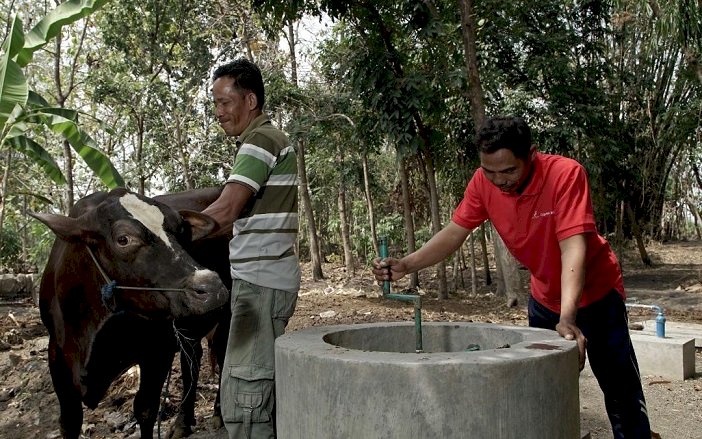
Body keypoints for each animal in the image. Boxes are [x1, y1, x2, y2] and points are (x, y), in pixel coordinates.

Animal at [33, 188, 231, 439]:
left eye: (182, 231)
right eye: (123, 239)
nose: (212, 287)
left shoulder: (158, 350)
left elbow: (145, 410)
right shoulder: (56, 354)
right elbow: (69, 422)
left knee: (223, 355)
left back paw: (218, 413)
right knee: (192, 360)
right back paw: (183, 422)